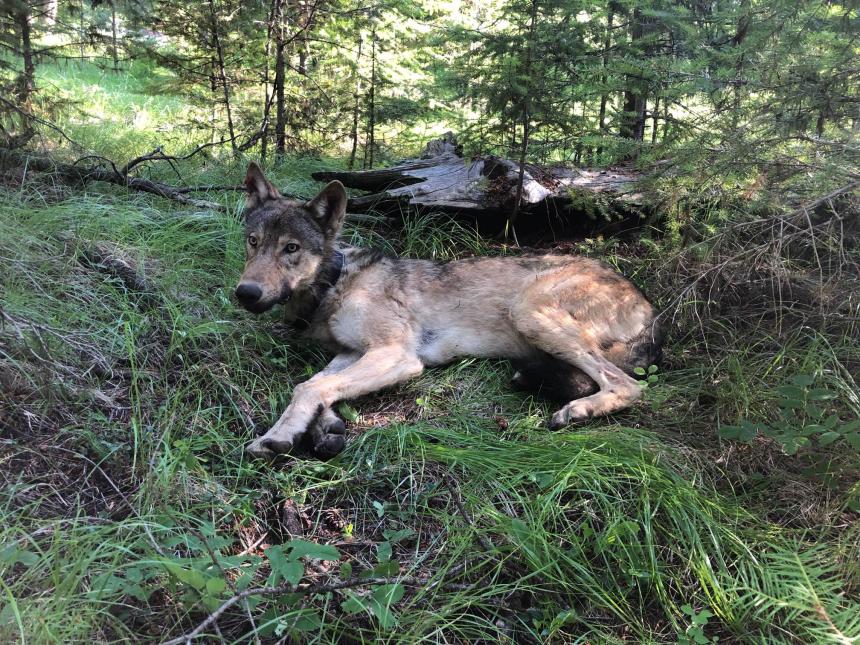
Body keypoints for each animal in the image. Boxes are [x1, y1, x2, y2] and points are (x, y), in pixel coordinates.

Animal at [232, 164, 660, 460]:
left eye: (291, 248)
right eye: (253, 242)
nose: (245, 293)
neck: (336, 282)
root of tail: (649, 306)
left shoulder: (397, 355)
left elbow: (309, 387)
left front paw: (277, 437)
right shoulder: (352, 353)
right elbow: (316, 385)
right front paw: (320, 429)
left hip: (528, 309)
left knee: (627, 385)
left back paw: (578, 410)